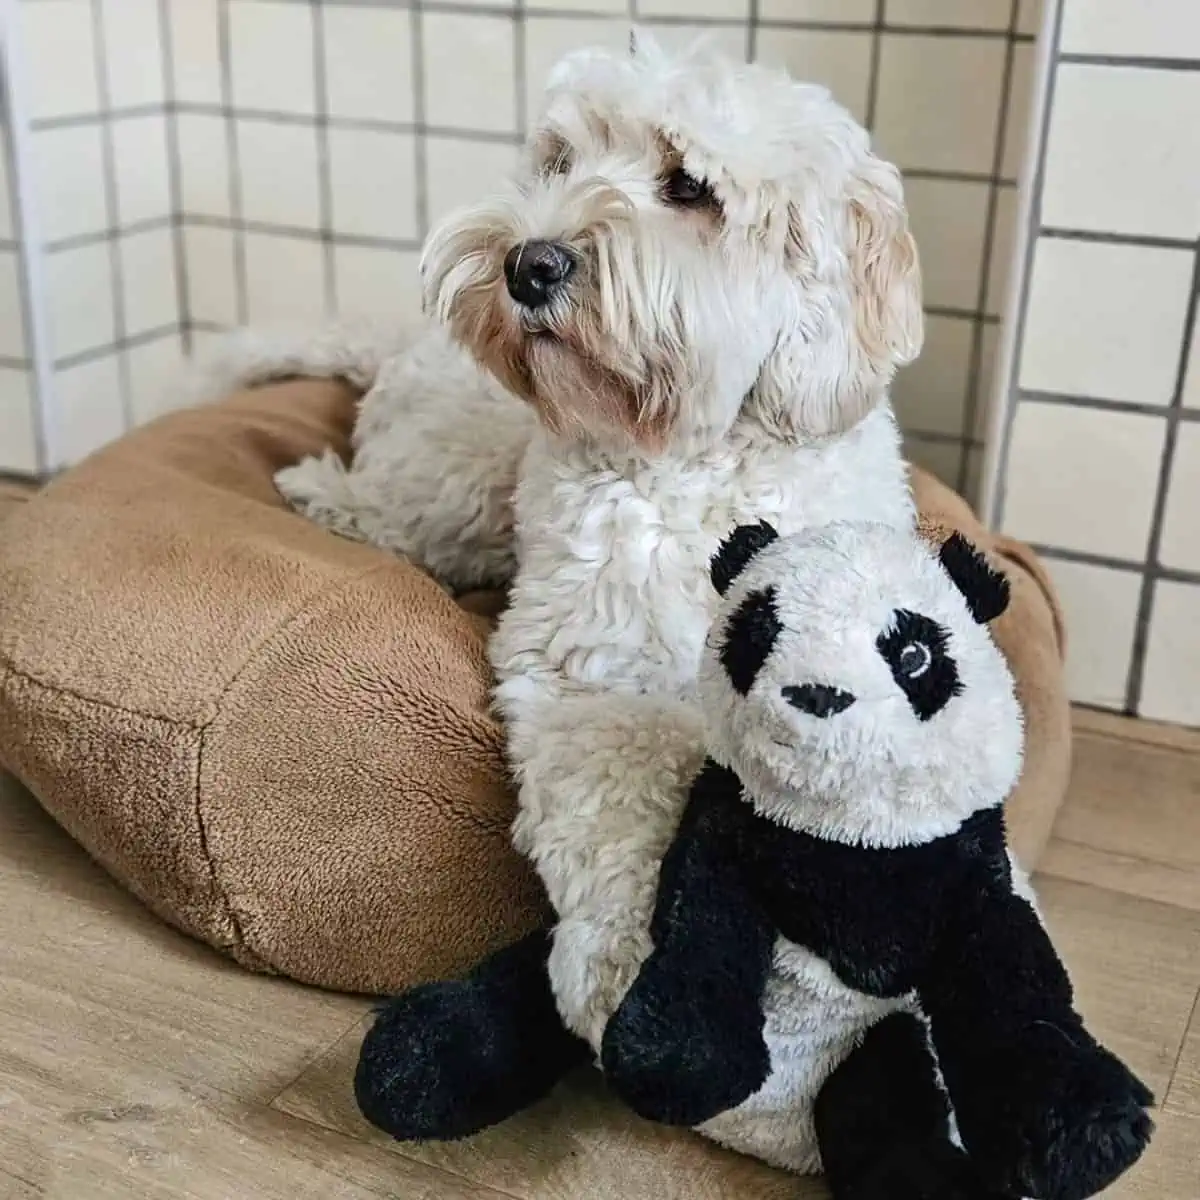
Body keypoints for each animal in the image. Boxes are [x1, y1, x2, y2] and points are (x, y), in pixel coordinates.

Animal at [229, 35, 931, 1180]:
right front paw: (626, 978)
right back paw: (318, 491)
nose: (529, 264)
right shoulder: (593, 675)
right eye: (559, 160)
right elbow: (616, 808)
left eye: (689, 186)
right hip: (454, 489)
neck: (696, 458)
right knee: (383, 507)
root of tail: (401, 352)